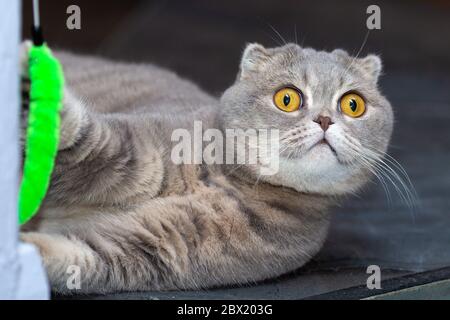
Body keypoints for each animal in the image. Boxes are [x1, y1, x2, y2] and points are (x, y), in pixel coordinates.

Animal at [20, 40, 394, 296]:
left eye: (353, 104)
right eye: (287, 98)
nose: (325, 119)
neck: (220, 181)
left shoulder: (154, 248)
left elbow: (73, 255)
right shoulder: (130, 151)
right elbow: (83, 143)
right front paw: (35, 86)